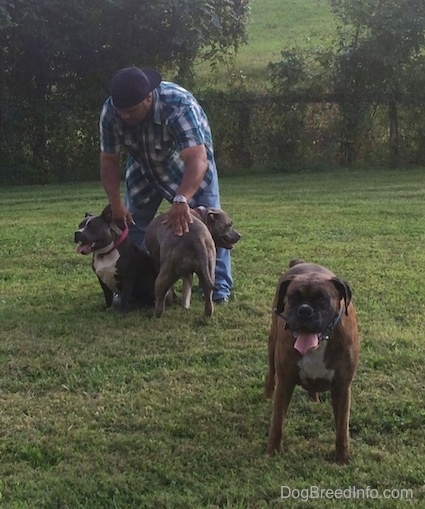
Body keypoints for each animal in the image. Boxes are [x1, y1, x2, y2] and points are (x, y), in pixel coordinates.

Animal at [264, 260, 358, 462]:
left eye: (322, 299)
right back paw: (267, 396)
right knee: (270, 374)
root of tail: (300, 262)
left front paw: (342, 459)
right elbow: (277, 423)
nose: (304, 310)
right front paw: (272, 453)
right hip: (272, 344)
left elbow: (342, 429)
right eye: (293, 297)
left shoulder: (342, 387)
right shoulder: (285, 382)